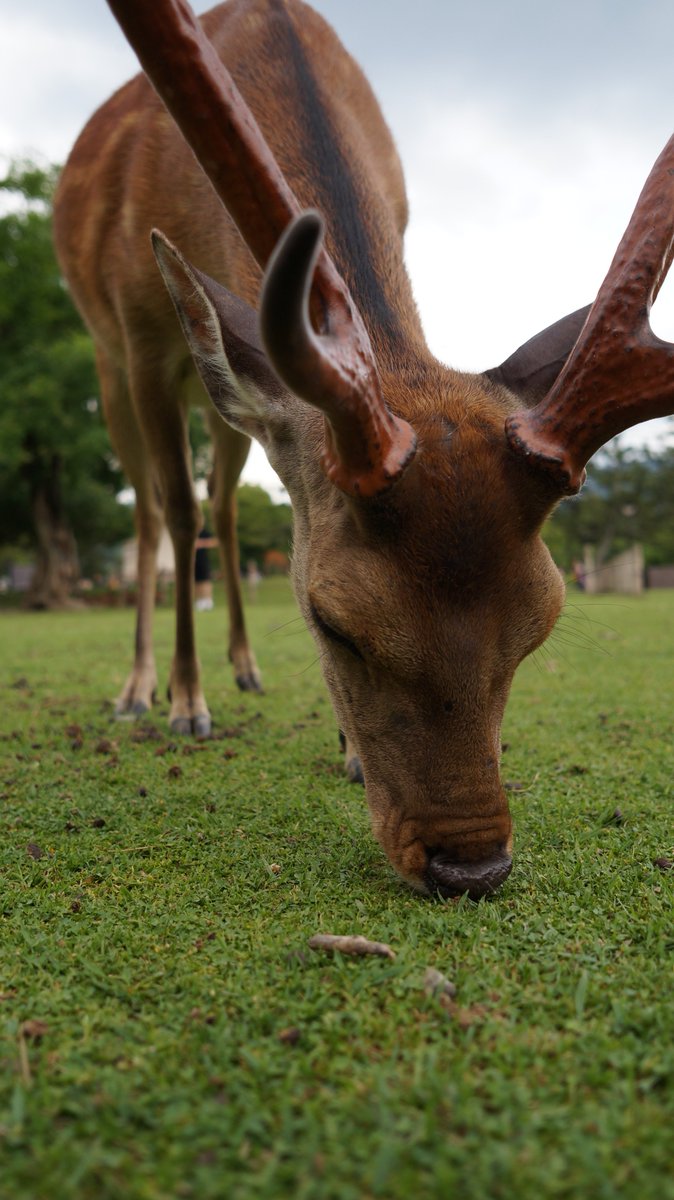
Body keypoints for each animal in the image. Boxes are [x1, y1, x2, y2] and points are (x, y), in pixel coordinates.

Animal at [53, 0, 674, 900]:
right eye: (332, 621)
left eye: (544, 621)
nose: (472, 864)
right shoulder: (138, 334)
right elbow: (171, 509)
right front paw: (184, 703)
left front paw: (343, 746)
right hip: (110, 367)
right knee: (159, 513)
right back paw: (146, 690)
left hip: (219, 412)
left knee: (226, 504)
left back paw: (246, 665)